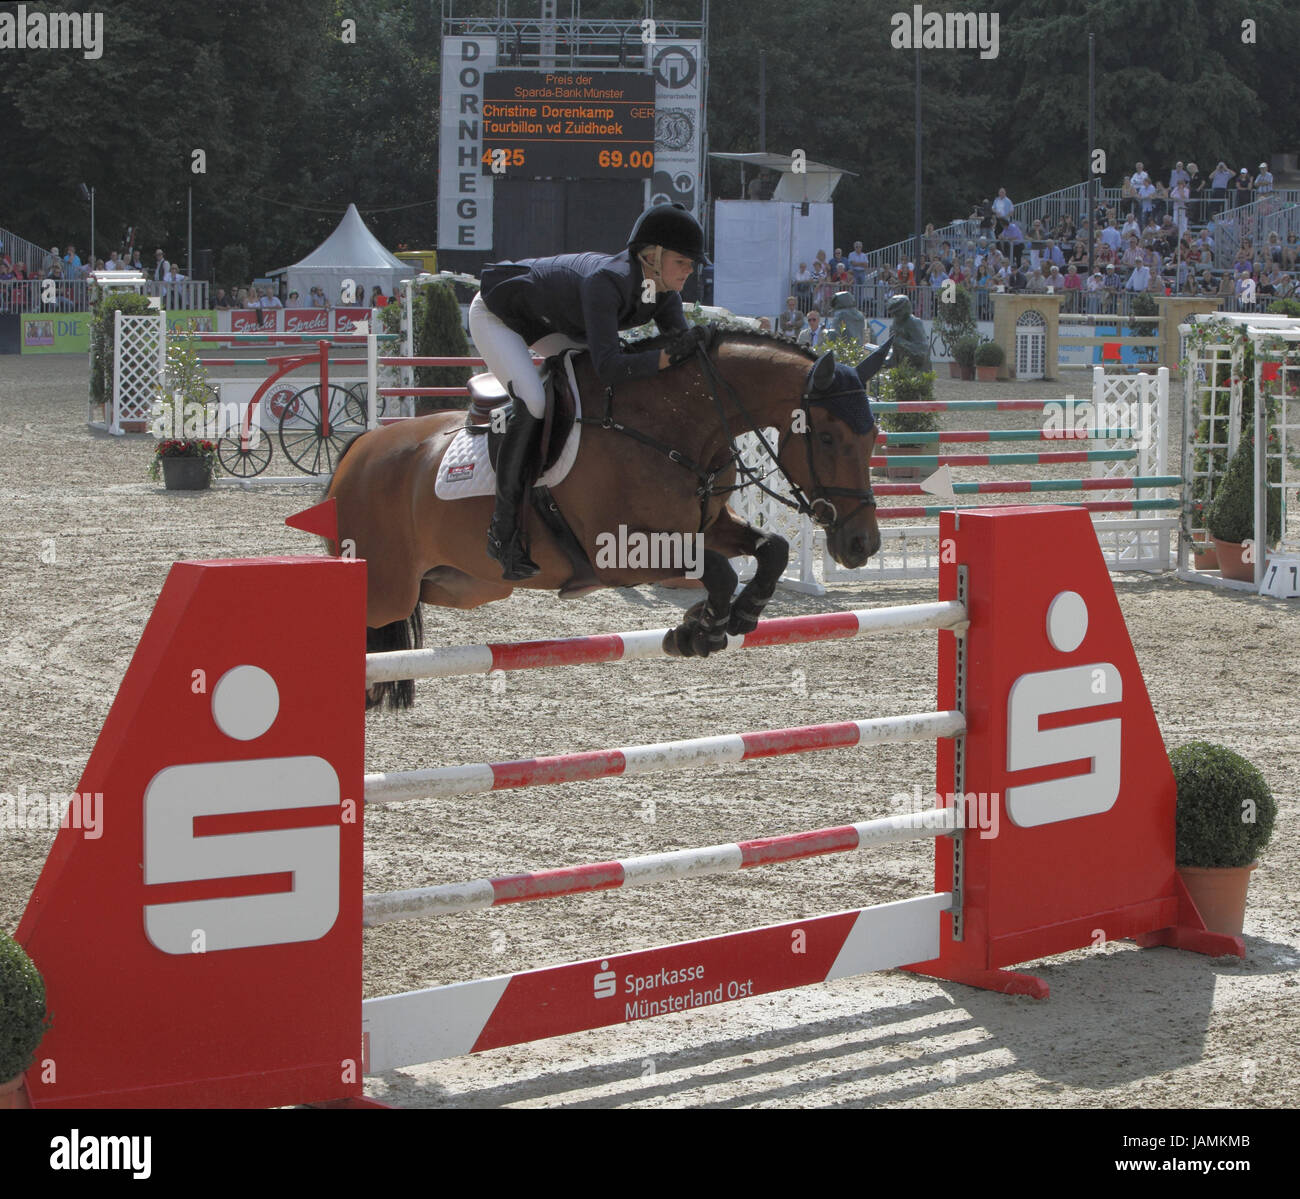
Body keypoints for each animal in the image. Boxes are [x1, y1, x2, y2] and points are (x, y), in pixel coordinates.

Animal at [330, 331, 889, 707]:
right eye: (828, 437)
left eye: (873, 438)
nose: (862, 544)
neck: (670, 427)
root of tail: (360, 449)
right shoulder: (618, 553)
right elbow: (717, 570)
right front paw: (700, 629)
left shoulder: (706, 526)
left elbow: (770, 548)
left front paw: (734, 616)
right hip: (386, 588)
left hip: (464, 585)